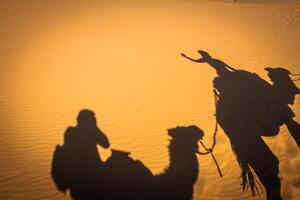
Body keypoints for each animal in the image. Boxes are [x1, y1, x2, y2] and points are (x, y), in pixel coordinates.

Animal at [182, 50, 298, 200]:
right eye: (282, 72)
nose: (296, 89)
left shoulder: (284, 117)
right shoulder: (283, 115)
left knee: (268, 167)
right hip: (248, 137)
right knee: (269, 166)